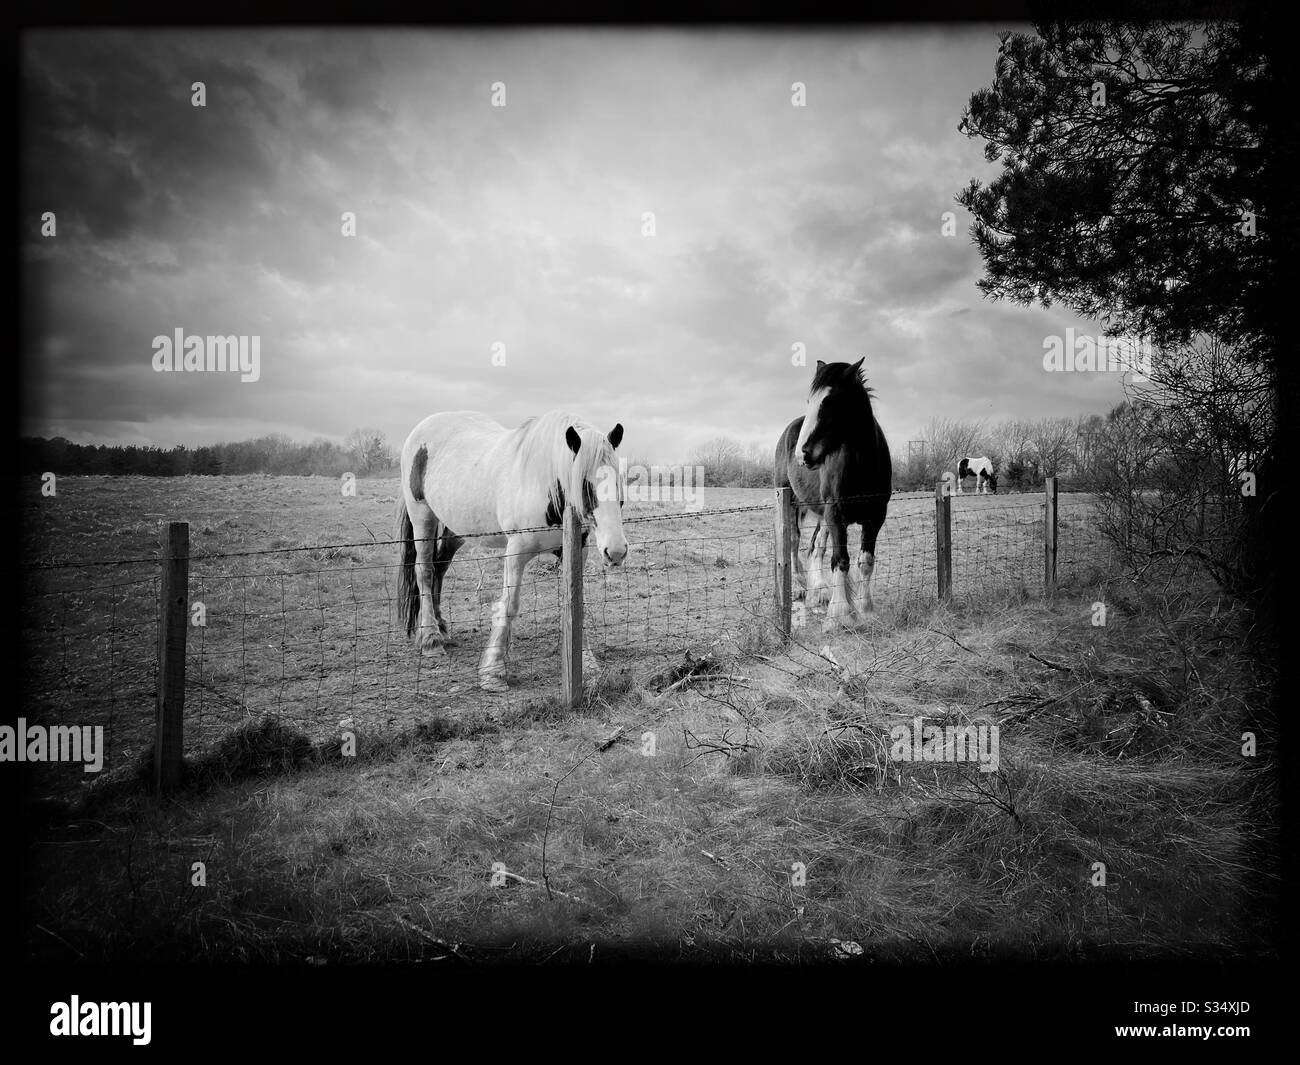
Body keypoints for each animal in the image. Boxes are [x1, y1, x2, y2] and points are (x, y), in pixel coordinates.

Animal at [396, 410, 628, 692]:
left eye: (618, 483)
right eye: (586, 485)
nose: (615, 552)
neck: (543, 483)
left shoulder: (574, 551)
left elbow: (575, 603)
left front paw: (588, 664)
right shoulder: (516, 552)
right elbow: (509, 604)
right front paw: (494, 671)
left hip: (456, 529)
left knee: (439, 568)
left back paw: (441, 628)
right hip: (422, 517)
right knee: (425, 572)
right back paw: (431, 639)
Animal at [774, 358, 892, 628]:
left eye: (828, 401)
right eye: (810, 401)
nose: (802, 454)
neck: (862, 466)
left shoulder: (875, 517)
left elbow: (865, 561)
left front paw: (866, 609)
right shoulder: (836, 513)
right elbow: (840, 561)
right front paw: (841, 616)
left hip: (822, 513)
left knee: (816, 545)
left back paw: (819, 590)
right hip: (793, 504)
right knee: (794, 542)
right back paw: (799, 587)